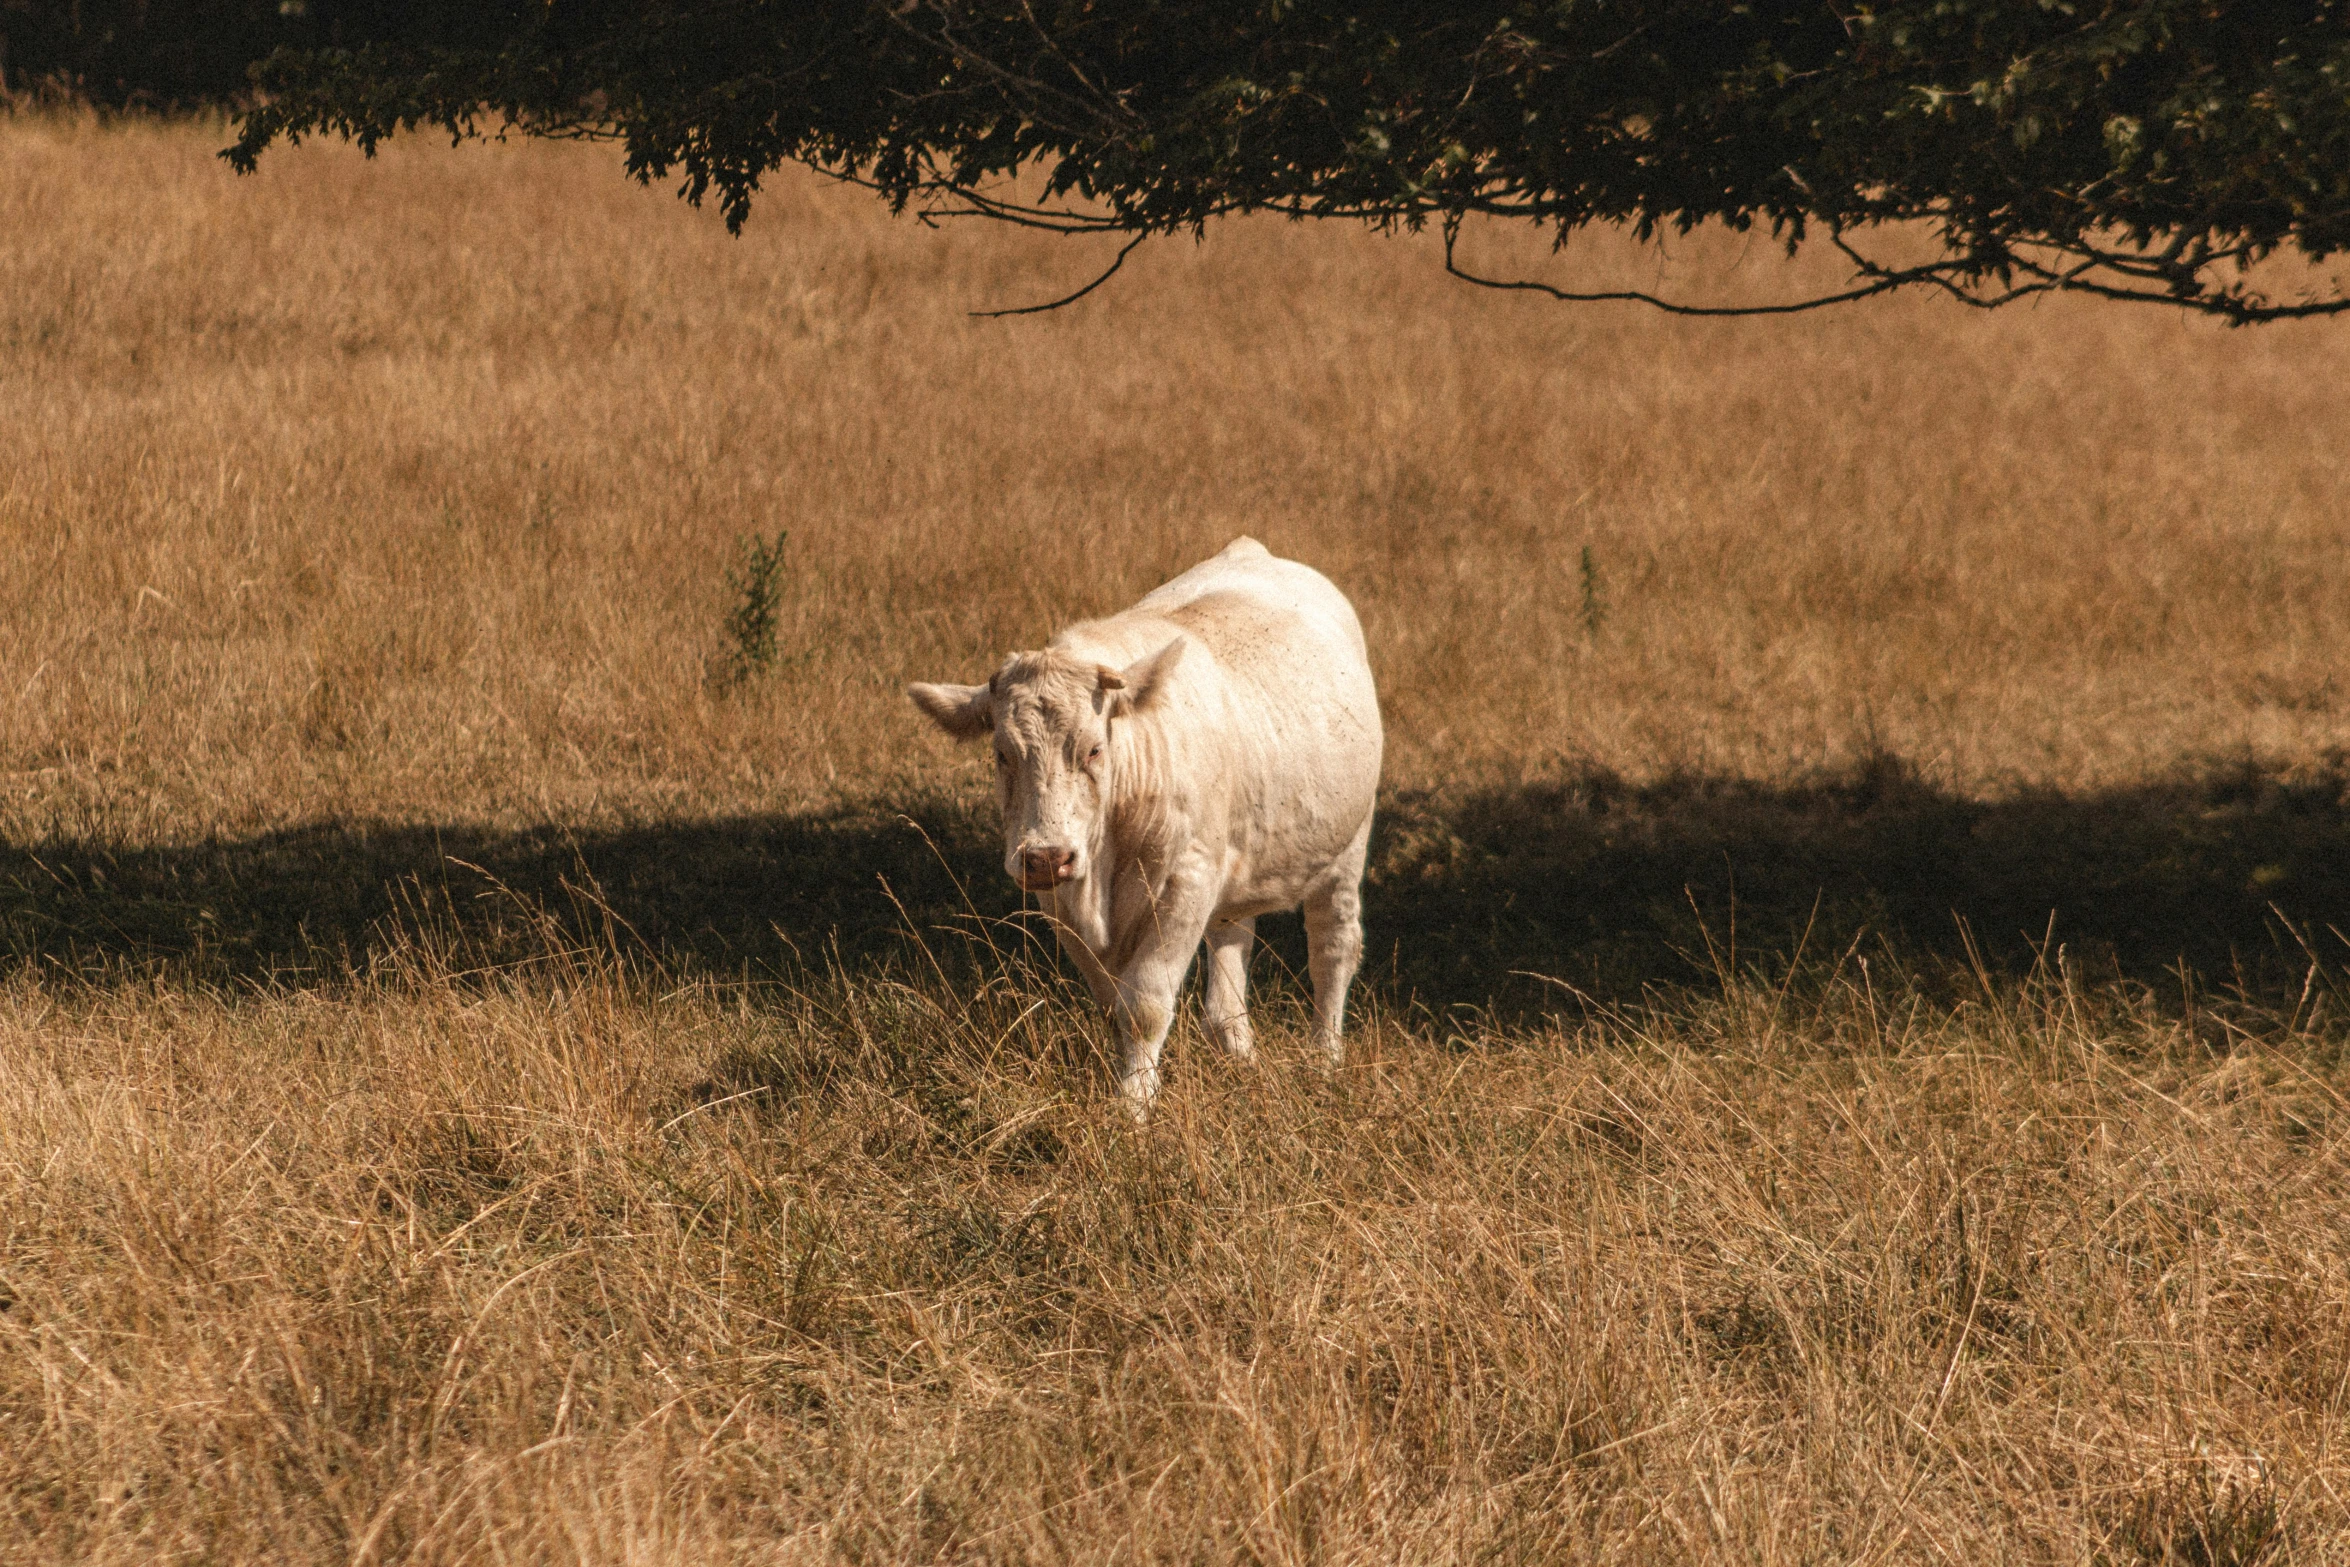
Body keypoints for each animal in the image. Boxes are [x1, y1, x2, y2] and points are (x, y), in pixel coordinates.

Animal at [897, 540, 1372, 1113]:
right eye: (1002, 754)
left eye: (1094, 749)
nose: (1046, 855)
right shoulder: (1061, 898)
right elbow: (1109, 1002)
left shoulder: (1185, 882)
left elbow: (1144, 1003)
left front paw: (1134, 1105)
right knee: (1231, 953)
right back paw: (1240, 1055)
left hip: (1347, 847)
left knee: (1333, 949)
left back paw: (1326, 1059)